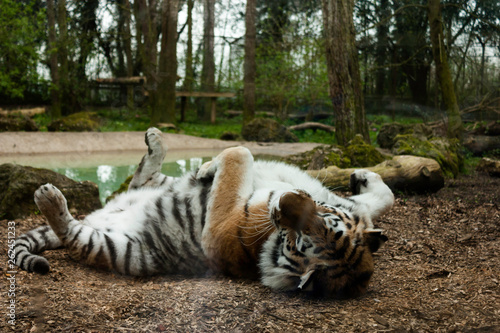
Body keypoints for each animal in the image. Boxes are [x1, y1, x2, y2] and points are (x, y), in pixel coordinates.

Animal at [13, 127, 392, 298]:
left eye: (298, 240)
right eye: (321, 213)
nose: (285, 202)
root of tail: (96, 216)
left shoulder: (221, 228)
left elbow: (240, 153)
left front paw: (215, 164)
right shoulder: (345, 204)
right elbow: (382, 198)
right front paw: (363, 175)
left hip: (119, 249)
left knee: (74, 236)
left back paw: (49, 199)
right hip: (156, 187)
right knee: (144, 176)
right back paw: (158, 141)